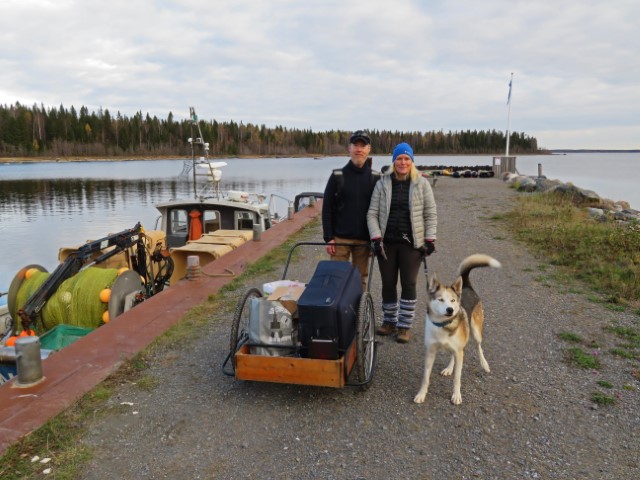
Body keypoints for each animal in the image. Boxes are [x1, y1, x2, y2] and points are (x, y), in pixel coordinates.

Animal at [412, 255, 502, 404]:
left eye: (453, 300)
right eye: (441, 299)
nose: (450, 310)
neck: (444, 325)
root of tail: (466, 286)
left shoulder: (459, 352)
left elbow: (457, 378)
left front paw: (456, 395)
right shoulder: (430, 352)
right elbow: (426, 377)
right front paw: (421, 394)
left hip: (475, 332)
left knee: (479, 347)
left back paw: (484, 364)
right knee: (454, 355)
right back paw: (449, 368)